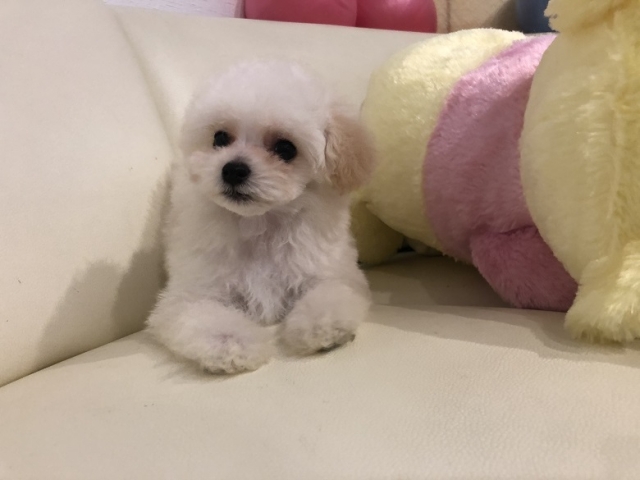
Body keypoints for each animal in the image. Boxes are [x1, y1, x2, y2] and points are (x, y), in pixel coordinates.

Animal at [147, 61, 376, 373]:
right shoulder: (190, 293)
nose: (233, 169)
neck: (259, 223)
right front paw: (234, 344)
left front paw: (322, 326)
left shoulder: (330, 271)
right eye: (220, 138)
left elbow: (330, 293)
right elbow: (204, 316)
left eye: (285, 148)